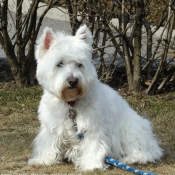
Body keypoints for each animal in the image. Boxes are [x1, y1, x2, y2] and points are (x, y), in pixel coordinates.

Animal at [28, 25, 163, 171]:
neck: (71, 102)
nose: (73, 81)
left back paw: (129, 159)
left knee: (144, 152)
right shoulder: (51, 126)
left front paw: (91, 165)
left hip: (132, 129)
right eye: (59, 63)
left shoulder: (92, 127)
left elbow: (93, 146)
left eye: (79, 64)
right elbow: (48, 143)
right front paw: (43, 160)